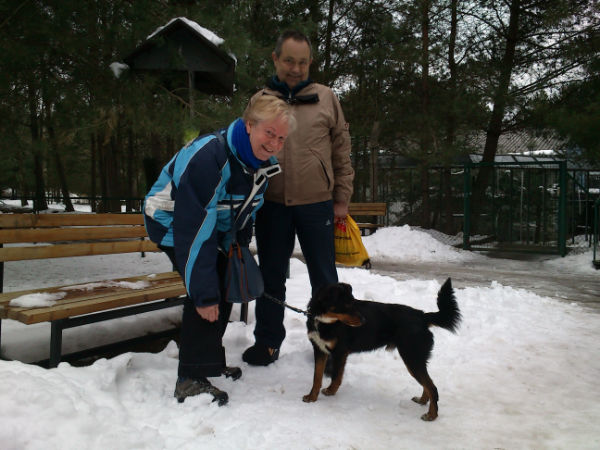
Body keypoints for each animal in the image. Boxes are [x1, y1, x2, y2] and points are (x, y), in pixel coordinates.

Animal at [303, 278, 461, 421]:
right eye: (346, 305)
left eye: (353, 303)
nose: (364, 321)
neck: (323, 321)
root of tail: (422, 316)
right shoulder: (319, 350)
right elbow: (317, 378)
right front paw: (312, 397)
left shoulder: (340, 352)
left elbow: (336, 377)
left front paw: (330, 391)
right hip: (415, 359)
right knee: (428, 384)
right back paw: (422, 401)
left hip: (412, 358)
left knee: (432, 387)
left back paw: (431, 415)